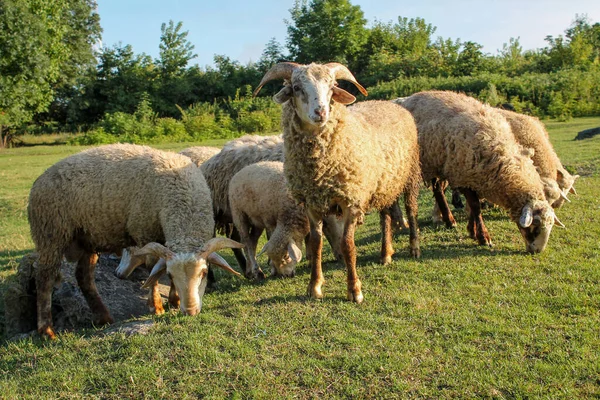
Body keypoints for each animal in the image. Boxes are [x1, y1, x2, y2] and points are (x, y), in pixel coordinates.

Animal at [27, 144, 244, 338]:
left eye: (204, 273)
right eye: (171, 275)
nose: (190, 311)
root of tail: (40, 179)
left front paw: (173, 300)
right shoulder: (144, 232)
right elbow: (153, 270)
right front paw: (156, 306)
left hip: (87, 237)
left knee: (84, 276)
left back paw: (103, 317)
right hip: (51, 234)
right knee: (45, 278)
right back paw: (47, 330)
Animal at [255, 61, 420, 304]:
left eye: (332, 87)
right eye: (296, 87)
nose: (321, 112)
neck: (320, 169)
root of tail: (389, 103)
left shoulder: (350, 200)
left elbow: (347, 244)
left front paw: (354, 290)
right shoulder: (312, 203)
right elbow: (316, 244)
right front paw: (314, 287)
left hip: (410, 173)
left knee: (411, 209)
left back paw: (414, 247)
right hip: (383, 182)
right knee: (386, 216)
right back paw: (386, 254)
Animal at [398, 91, 564, 253]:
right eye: (535, 227)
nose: (537, 251)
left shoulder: (474, 177)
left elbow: (473, 207)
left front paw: (472, 231)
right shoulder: (462, 175)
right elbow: (475, 207)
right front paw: (483, 237)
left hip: (438, 163)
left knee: (438, 190)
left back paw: (449, 220)